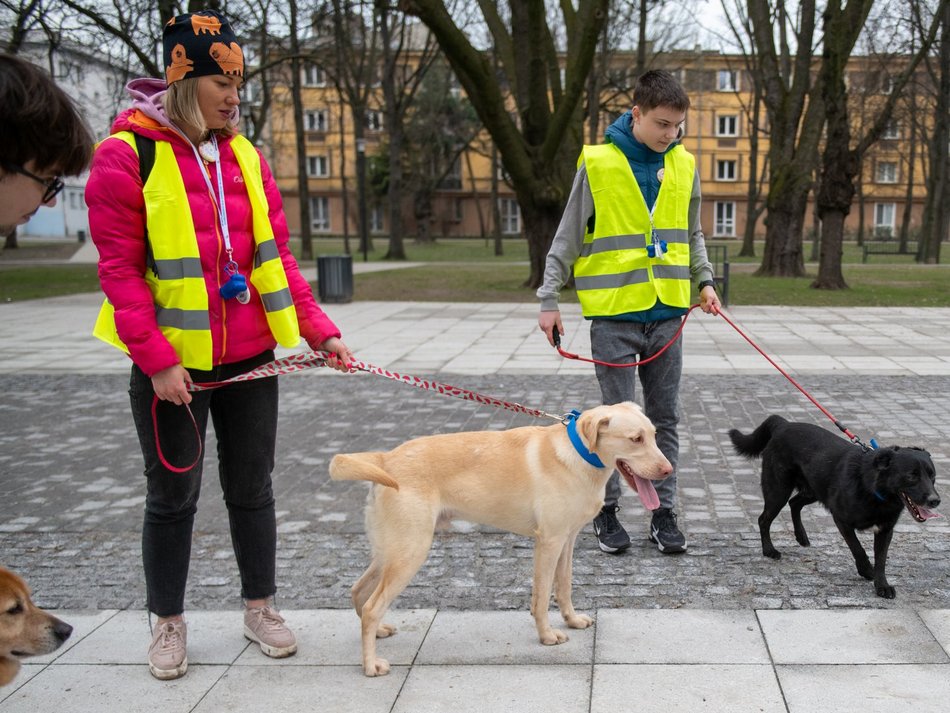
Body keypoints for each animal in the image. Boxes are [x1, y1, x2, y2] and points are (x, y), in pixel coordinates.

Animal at [330, 404, 672, 676]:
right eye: (636, 439)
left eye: (654, 435)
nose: (668, 470)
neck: (579, 456)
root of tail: (386, 458)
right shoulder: (549, 542)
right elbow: (542, 595)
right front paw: (547, 635)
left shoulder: (568, 540)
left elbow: (563, 586)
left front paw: (571, 620)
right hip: (410, 552)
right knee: (372, 606)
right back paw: (370, 665)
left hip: (392, 550)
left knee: (359, 591)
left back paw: (377, 634)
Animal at [728, 414, 944, 596]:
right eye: (911, 476)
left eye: (932, 475)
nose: (935, 501)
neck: (874, 490)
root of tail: (783, 424)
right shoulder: (841, 520)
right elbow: (858, 548)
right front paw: (866, 571)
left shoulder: (885, 530)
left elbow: (881, 559)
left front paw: (882, 585)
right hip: (778, 491)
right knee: (764, 519)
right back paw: (769, 550)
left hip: (814, 490)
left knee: (794, 503)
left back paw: (801, 536)